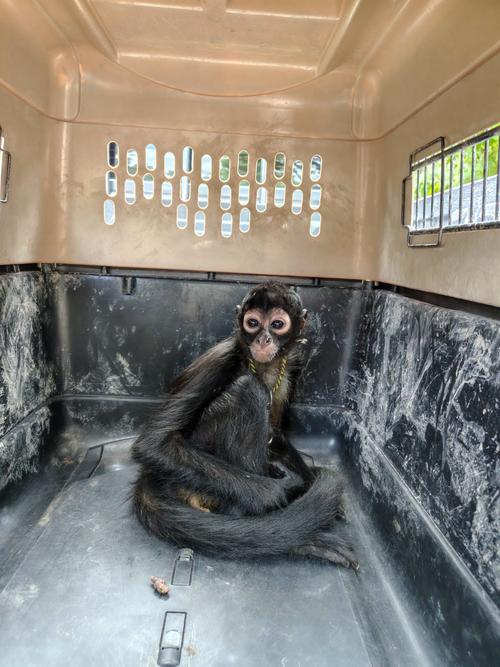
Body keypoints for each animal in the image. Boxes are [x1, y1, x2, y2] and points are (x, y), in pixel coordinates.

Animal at [132, 282, 357, 568]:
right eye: (253, 323)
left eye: (277, 324)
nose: (263, 339)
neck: (262, 366)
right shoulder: (223, 357)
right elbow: (153, 445)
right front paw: (279, 493)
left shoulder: (291, 365)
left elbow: (277, 435)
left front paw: (306, 481)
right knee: (248, 390)